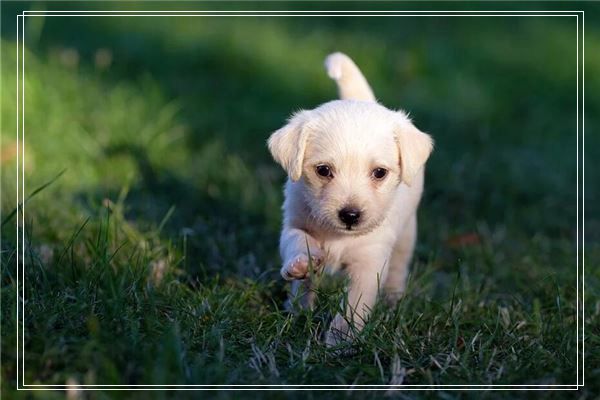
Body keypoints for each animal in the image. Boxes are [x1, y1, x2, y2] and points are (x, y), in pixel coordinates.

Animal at [268, 52, 432, 346]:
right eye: (323, 170)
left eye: (379, 173)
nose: (350, 215)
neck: (339, 237)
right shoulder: (294, 222)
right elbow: (298, 242)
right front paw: (301, 264)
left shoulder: (370, 263)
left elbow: (354, 304)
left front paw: (340, 340)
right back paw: (297, 308)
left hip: (407, 235)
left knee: (399, 267)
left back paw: (392, 299)